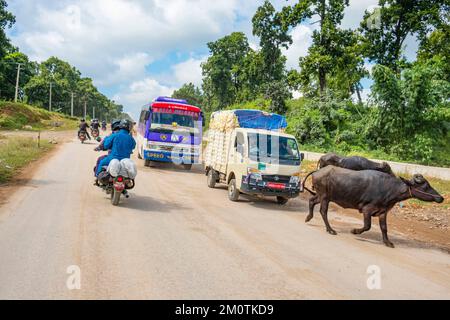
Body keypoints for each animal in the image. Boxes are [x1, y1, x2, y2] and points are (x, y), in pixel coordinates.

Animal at [300, 166, 444, 249]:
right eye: (425, 186)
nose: (441, 198)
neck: (389, 189)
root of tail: (317, 171)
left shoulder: (383, 212)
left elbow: (384, 228)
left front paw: (388, 242)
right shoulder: (367, 209)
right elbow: (367, 226)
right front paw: (354, 231)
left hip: (322, 196)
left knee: (312, 201)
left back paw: (308, 217)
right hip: (324, 196)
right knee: (323, 211)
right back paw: (330, 229)